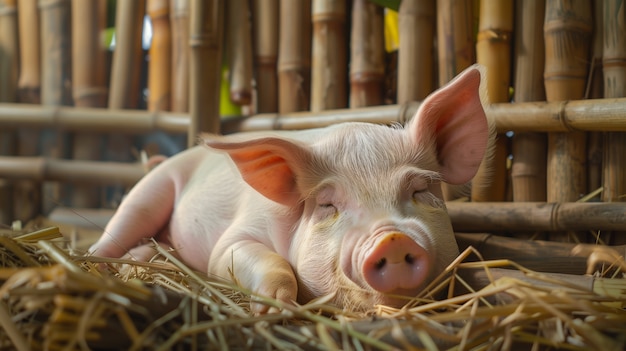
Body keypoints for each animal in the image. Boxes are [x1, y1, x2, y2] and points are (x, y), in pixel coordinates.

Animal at [90, 64, 490, 314]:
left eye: (419, 191)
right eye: (328, 205)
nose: (392, 238)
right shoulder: (233, 240)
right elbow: (251, 258)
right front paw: (273, 308)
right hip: (149, 191)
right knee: (116, 232)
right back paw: (102, 264)